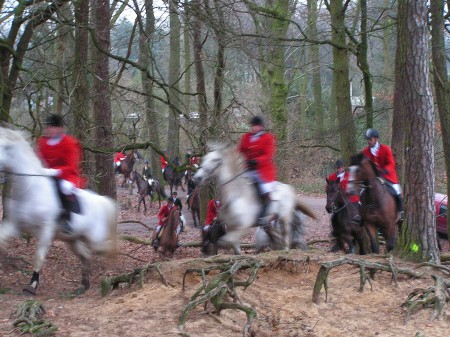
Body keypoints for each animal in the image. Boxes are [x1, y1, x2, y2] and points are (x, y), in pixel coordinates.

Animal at [0, 126, 118, 294]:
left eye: (6, 147)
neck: (30, 189)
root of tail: (103, 201)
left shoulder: (46, 230)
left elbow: (39, 257)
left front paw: (33, 285)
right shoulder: (15, 225)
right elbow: (1, 239)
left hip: (94, 237)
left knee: (100, 248)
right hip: (73, 239)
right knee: (86, 254)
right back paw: (84, 284)